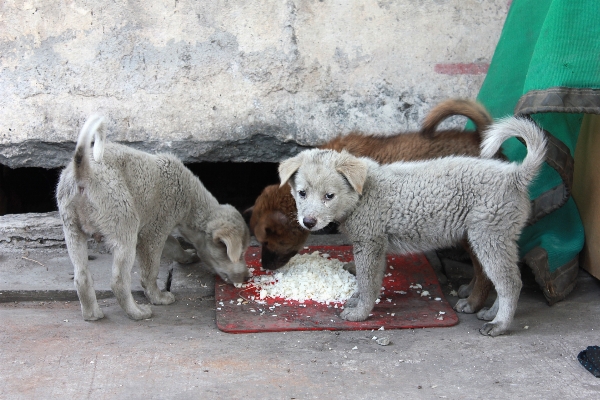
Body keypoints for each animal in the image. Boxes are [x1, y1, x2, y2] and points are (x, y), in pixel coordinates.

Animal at [57, 114, 250, 320]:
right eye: (239, 253)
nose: (248, 277)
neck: (190, 199)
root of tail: (83, 172)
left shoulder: (155, 228)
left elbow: (174, 246)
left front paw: (187, 256)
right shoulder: (154, 233)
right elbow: (151, 271)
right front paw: (158, 297)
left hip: (72, 230)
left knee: (81, 277)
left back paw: (92, 314)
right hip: (124, 225)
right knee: (119, 282)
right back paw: (138, 313)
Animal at [278, 117, 548, 336]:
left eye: (329, 196)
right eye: (302, 193)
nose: (308, 222)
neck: (363, 193)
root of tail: (515, 176)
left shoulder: (369, 243)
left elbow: (367, 282)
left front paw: (359, 313)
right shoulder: (377, 245)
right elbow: (371, 281)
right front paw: (357, 300)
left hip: (489, 237)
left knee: (509, 283)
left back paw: (499, 324)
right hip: (500, 238)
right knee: (507, 279)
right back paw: (492, 312)